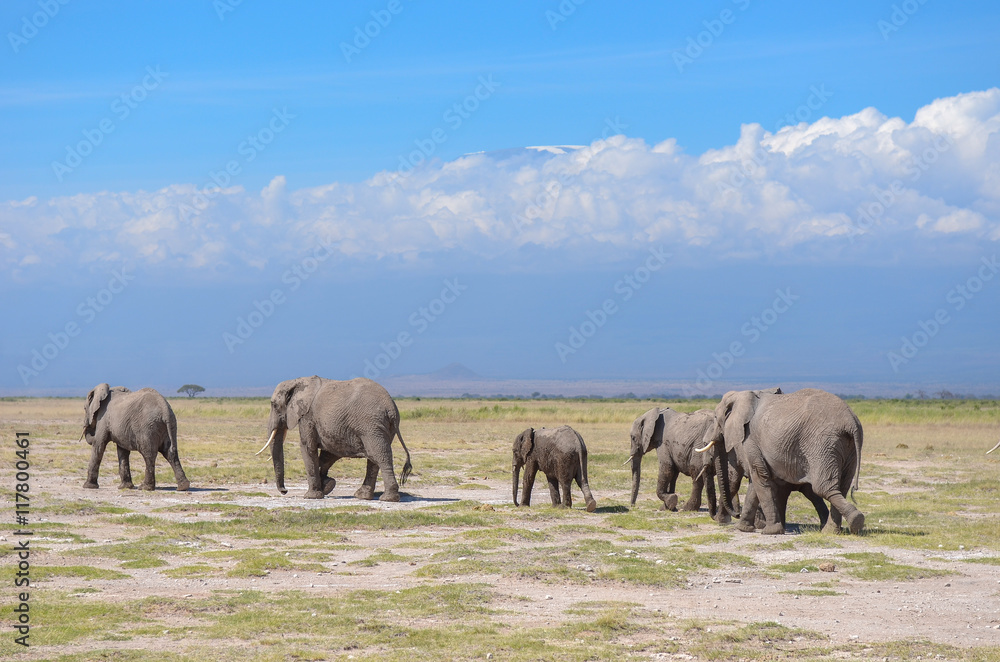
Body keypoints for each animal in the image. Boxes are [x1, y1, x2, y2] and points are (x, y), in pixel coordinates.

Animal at [259, 376, 412, 501]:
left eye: (274, 405)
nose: (284, 491)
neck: (298, 381)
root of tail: (390, 408)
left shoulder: (307, 416)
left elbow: (308, 447)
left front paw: (311, 496)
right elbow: (329, 452)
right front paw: (327, 485)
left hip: (370, 425)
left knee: (380, 456)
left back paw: (388, 498)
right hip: (382, 427)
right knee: (374, 458)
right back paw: (363, 496)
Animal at [698, 388, 864, 535]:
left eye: (715, 418)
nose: (736, 514)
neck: (745, 395)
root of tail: (851, 422)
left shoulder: (750, 439)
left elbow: (759, 475)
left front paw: (770, 531)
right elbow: (756, 481)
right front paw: (743, 528)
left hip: (822, 444)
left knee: (823, 487)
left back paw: (854, 521)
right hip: (845, 447)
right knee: (842, 487)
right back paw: (832, 530)